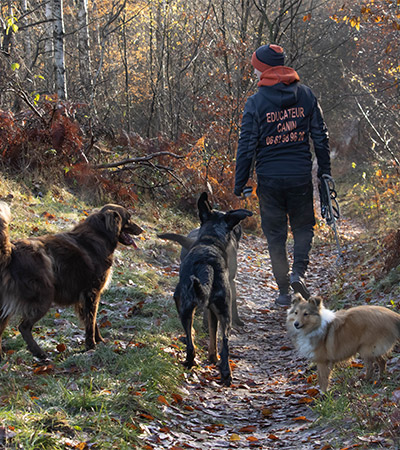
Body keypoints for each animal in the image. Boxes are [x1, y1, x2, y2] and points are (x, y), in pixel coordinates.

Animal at [0, 202, 143, 360]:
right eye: (128, 218)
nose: (142, 230)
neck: (99, 234)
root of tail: (11, 251)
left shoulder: (85, 297)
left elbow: (92, 321)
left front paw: (99, 341)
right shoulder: (91, 293)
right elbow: (91, 321)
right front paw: (91, 346)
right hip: (44, 298)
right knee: (23, 327)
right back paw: (40, 353)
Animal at [173, 192, 252, 384]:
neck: (211, 241)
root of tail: (206, 264)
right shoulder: (210, 310)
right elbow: (213, 335)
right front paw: (212, 357)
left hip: (185, 306)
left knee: (191, 342)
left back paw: (191, 362)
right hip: (224, 312)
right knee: (225, 343)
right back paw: (225, 373)